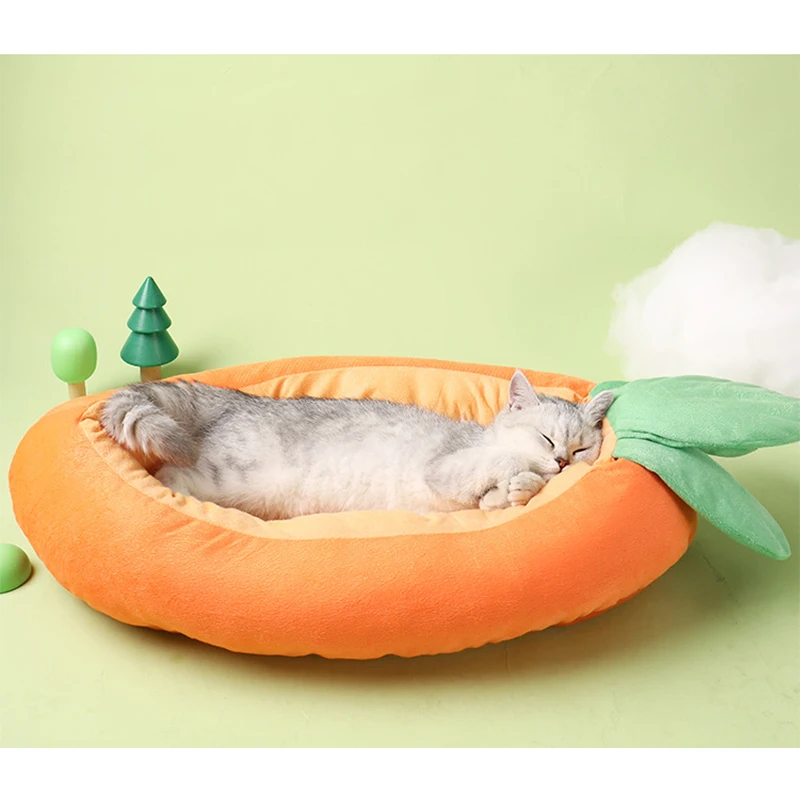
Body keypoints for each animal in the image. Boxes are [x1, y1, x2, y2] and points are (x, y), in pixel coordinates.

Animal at [100, 370, 614, 521]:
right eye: (547, 438)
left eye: (581, 450)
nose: (562, 461)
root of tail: (234, 399)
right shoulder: (444, 467)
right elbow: (503, 463)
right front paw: (524, 477)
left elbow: (497, 494)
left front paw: (513, 492)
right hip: (226, 476)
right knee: (167, 475)